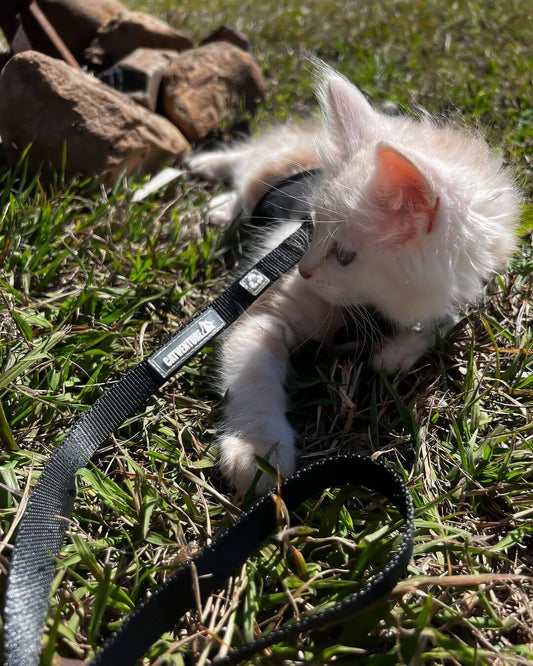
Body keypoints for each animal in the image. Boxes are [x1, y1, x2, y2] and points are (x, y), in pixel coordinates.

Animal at [188, 63, 520, 492]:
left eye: (344, 257)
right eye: (310, 227)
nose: (303, 269)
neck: (371, 304)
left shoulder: (465, 288)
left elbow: (441, 320)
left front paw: (396, 352)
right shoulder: (263, 314)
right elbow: (254, 379)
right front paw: (257, 451)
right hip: (267, 162)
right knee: (245, 157)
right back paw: (209, 176)